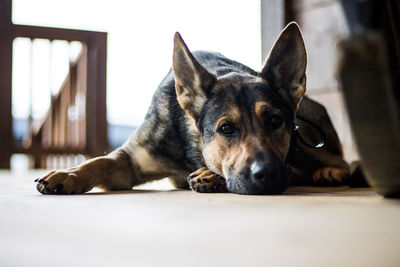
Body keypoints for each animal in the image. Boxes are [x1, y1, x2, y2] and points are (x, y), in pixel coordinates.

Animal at [36, 22, 352, 195]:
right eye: (226, 128)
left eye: (275, 121)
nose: (269, 175)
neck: (191, 143)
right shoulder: (129, 162)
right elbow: (98, 161)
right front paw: (68, 174)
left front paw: (211, 175)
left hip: (307, 131)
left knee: (338, 162)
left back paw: (330, 172)